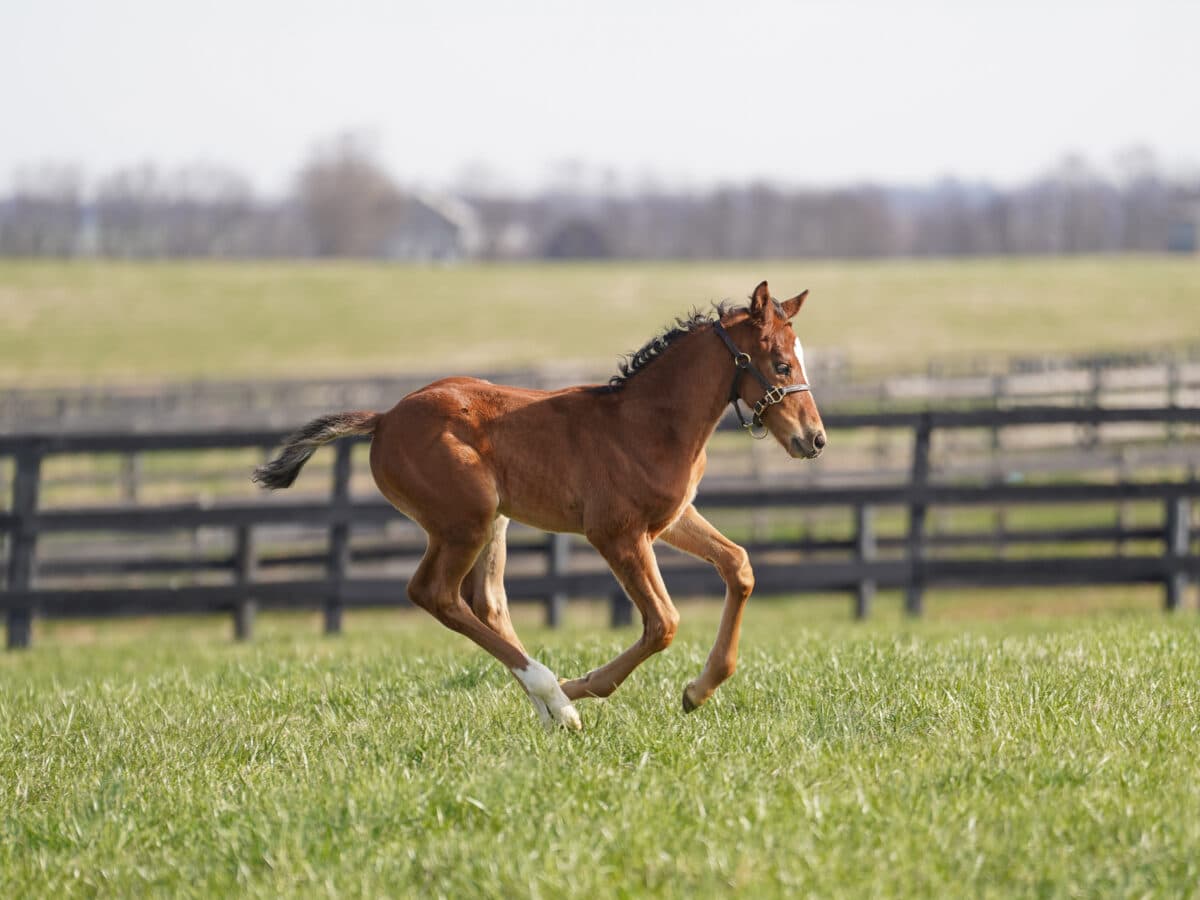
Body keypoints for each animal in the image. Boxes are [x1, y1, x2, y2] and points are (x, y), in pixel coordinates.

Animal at [255, 282, 825, 734]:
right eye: (781, 364)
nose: (814, 439)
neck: (647, 422)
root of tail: (384, 419)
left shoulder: (671, 519)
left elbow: (739, 566)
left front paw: (697, 690)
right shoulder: (615, 533)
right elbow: (662, 621)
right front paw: (584, 686)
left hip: (494, 523)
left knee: (485, 602)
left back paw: (549, 707)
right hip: (465, 522)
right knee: (435, 594)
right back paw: (556, 697)